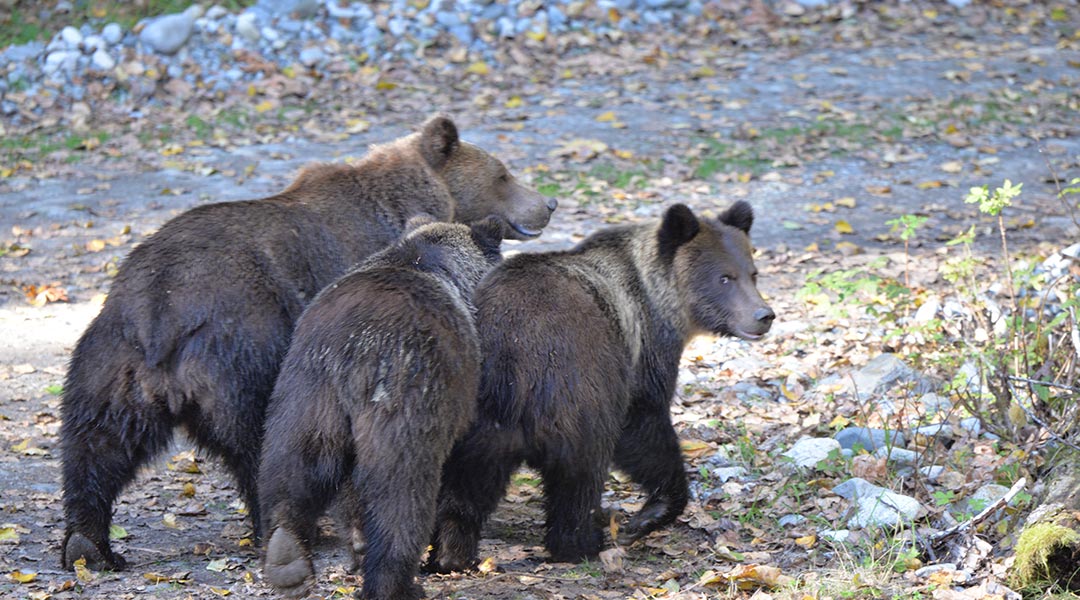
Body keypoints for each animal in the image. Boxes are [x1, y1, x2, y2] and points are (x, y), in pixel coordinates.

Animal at [259, 216, 503, 600]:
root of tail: (355, 344)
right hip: (404, 389)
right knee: (401, 489)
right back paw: (396, 582)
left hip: (309, 388)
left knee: (294, 463)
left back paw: (287, 556)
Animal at [425, 202, 773, 569]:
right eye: (724, 277)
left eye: (752, 273)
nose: (763, 315)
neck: (663, 302)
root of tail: (510, 347)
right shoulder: (641, 354)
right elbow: (644, 427)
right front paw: (650, 513)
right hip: (573, 387)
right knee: (580, 474)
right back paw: (582, 543)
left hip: (477, 413)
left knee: (466, 482)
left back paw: (451, 554)